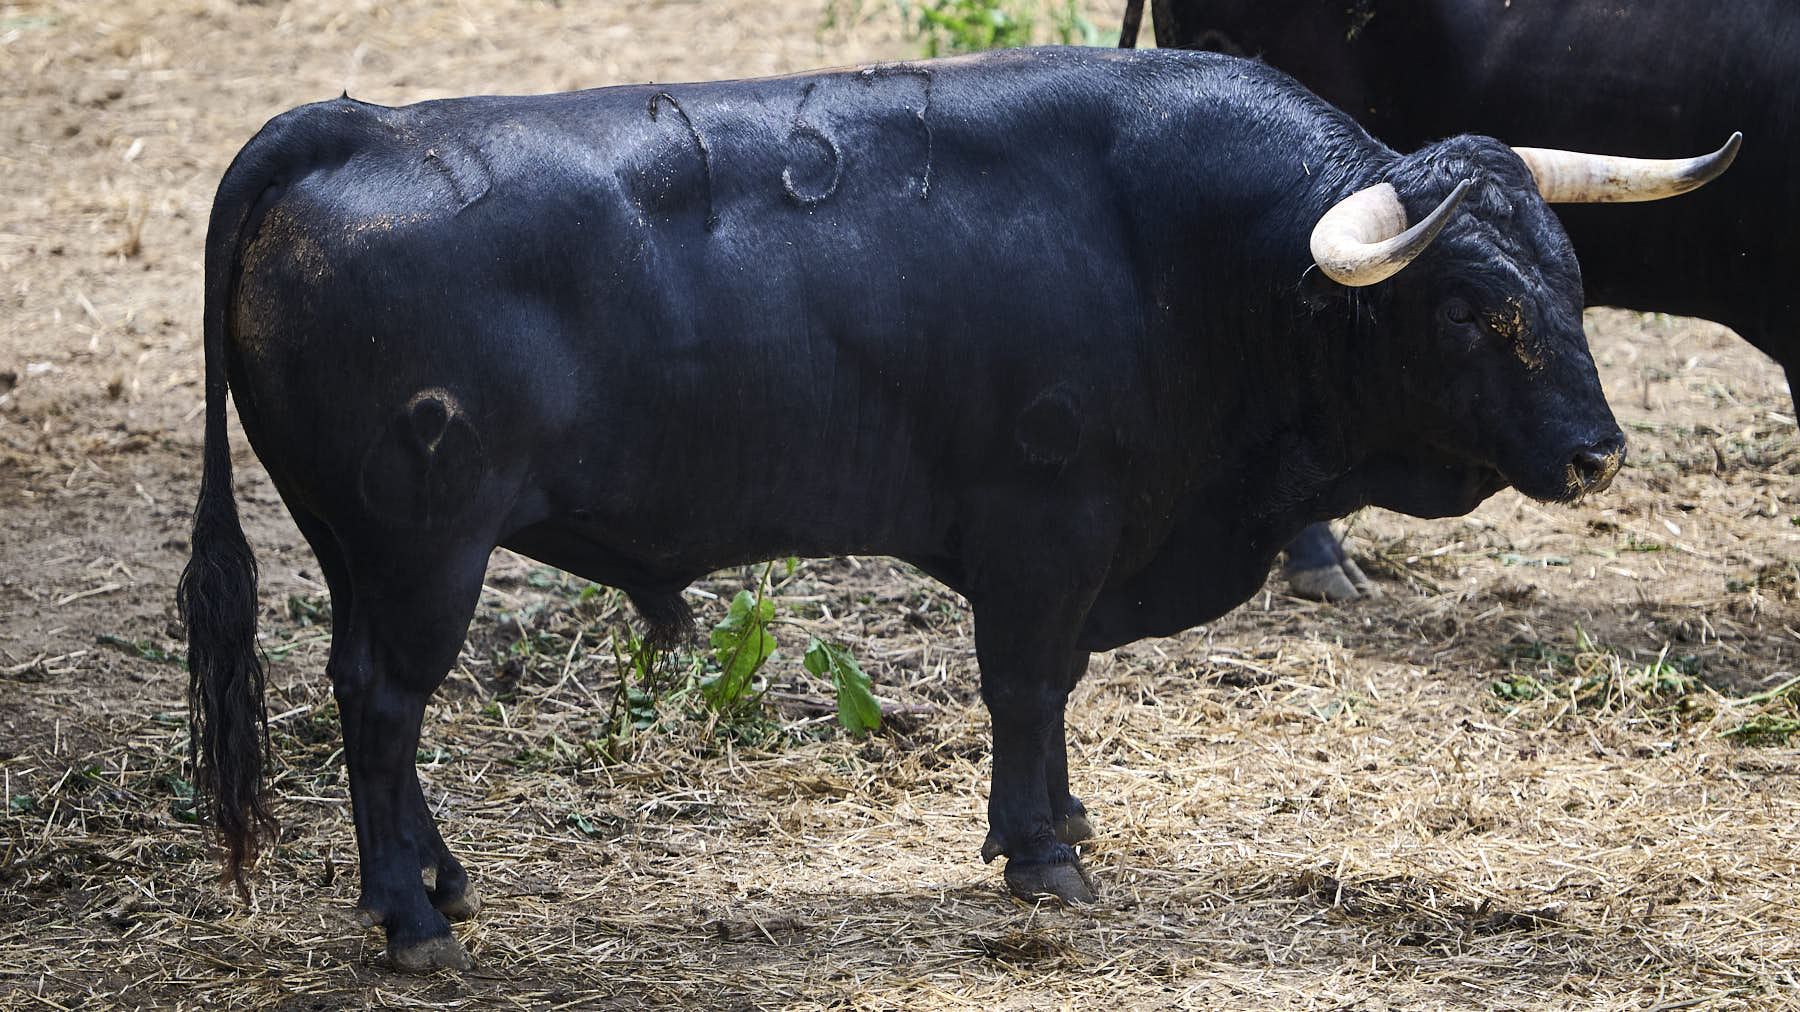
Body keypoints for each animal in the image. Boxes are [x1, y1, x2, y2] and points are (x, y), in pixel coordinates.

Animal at [186, 47, 1728, 972]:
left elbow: (1052, 698)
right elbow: (1028, 687)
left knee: (372, 705)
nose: (1598, 452)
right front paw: (1040, 851)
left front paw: (1070, 823)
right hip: (424, 552)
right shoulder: (1042, 537)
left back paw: (437, 883)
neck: (1185, 259)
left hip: (369, 555)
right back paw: (409, 919)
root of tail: (349, 129)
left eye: (1570, 278)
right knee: (384, 708)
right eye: (1470, 311)